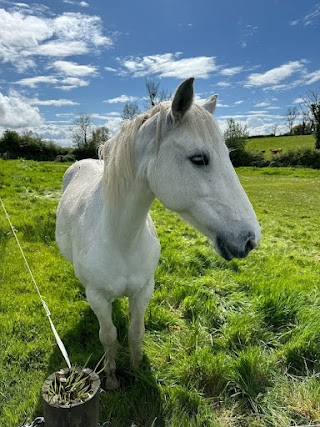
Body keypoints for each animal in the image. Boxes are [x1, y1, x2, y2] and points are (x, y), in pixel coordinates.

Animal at [55, 77, 260, 392]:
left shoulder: (143, 291)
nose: (250, 239)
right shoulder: (98, 297)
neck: (122, 239)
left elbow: (135, 332)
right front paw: (112, 378)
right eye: (198, 158)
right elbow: (108, 336)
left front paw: (137, 369)